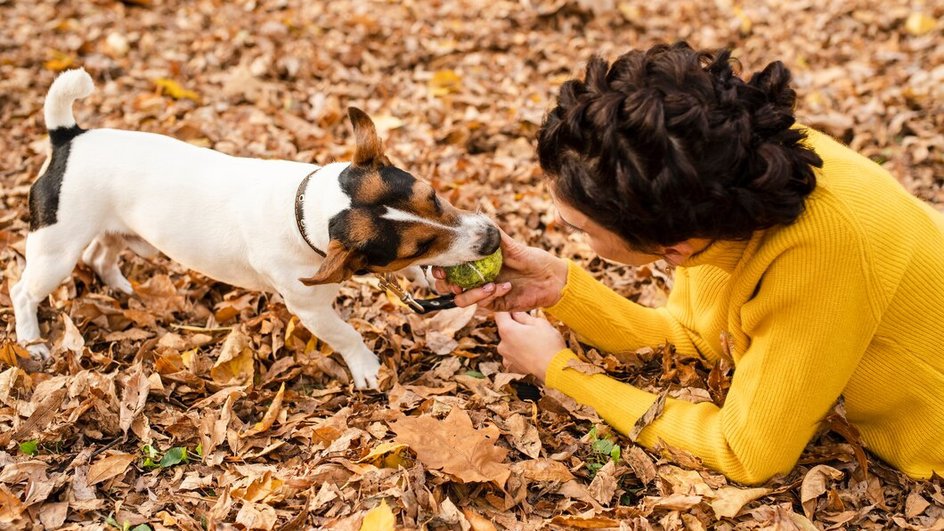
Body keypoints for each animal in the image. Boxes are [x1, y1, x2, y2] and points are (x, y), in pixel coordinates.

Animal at [12, 68, 502, 388]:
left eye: (433, 196)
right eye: (417, 245)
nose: (493, 238)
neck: (305, 209)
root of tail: (69, 137)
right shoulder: (311, 309)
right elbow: (346, 334)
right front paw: (365, 366)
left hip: (115, 231)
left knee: (101, 255)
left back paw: (121, 288)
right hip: (56, 251)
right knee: (24, 291)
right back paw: (31, 342)